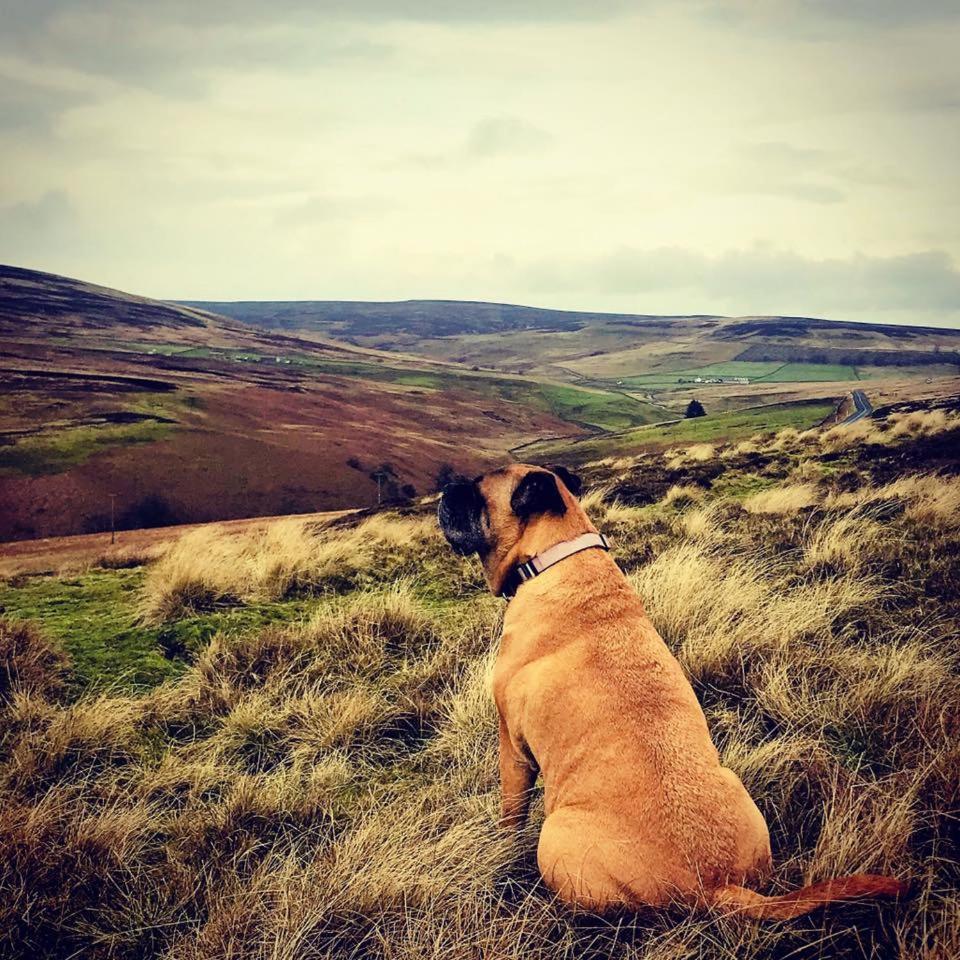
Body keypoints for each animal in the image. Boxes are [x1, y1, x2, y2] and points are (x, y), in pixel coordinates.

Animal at [438, 464, 904, 924]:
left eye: (476, 491)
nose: (444, 492)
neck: (559, 553)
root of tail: (714, 884)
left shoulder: (512, 745)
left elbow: (511, 812)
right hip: (733, 785)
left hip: (556, 836)